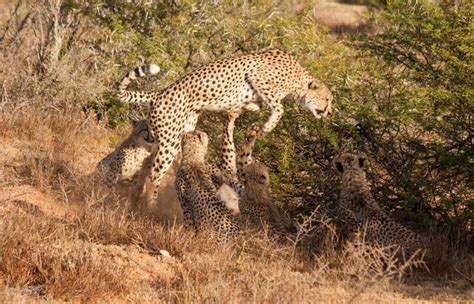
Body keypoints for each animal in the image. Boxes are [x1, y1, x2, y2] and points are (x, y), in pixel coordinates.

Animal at [117, 49, 334, 202]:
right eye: (328, 99)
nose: (329, 112)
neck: (299, 80)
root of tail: (158, 93)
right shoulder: (257, 77)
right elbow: (279, 107)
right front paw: (268, 125)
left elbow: (254, 106)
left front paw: (249, 111)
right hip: (169, 140)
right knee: (154, 173)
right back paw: (151, 204)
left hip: (182, 132)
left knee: (153, 164)